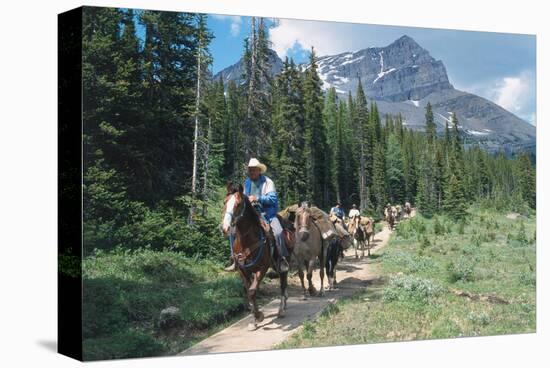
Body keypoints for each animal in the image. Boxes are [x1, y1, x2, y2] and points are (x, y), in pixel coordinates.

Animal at [222, 183, 296, 330]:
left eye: (238, 204)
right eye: (225, 202)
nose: (225, 228)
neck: (247, 241)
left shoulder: (261, 268)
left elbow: (252, 291)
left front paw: (259, 316)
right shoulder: (243, 270)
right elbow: (249, 292)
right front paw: (254, 319)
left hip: (284, 262)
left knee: (283, 284)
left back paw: (281, 310)